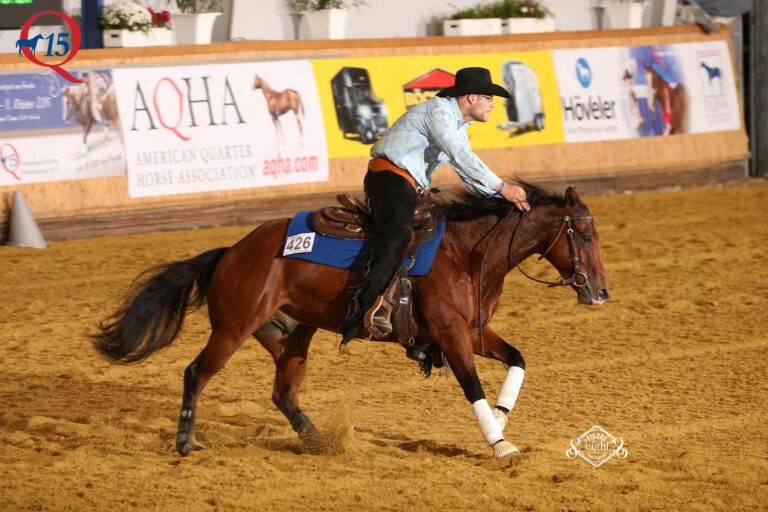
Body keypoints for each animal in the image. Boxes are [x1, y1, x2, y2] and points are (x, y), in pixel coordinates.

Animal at [91, 182, 608, 458]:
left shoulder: (474, 331)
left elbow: (517, 359)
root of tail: (232, 252)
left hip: (293, 336)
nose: (601, 291)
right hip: (232, 329)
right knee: (196, 373)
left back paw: (322, 442)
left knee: (283, 394)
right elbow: (472, 387)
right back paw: (185, 442)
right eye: (584, 235)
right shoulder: (451, 334)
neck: (466, 253)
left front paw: (501, 417)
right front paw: (499, 443)